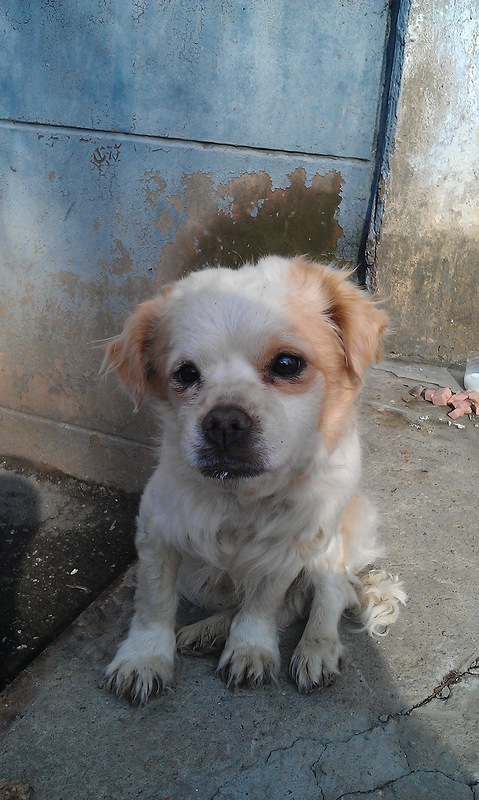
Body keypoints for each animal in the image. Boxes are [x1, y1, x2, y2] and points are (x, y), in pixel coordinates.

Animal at [101, 255, 406, 705]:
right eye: (186, 374)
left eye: (287, 364)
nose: (224, 422)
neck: (239, 498)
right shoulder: (158, 533)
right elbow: (153, 602)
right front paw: (145, 657)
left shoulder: (288, 546)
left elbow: (264, 602)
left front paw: (250, 648)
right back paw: (209, 630)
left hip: (330, 542)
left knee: (330, 594)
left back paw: (316, 649)